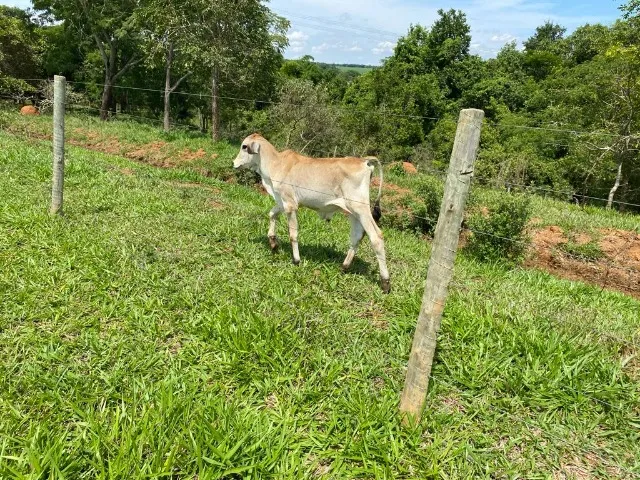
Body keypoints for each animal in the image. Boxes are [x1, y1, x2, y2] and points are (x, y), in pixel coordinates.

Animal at [233, 134, 390, 293]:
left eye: (244, 146)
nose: (234, 163)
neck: (275, 164)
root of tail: (364, 161)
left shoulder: (290, 205)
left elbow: (293, 234)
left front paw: (296, 260)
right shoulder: (282, 202)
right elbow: (272, 214)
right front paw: (273, 243)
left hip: (361, 209)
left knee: (376, 237)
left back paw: (385, 282)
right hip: (352, 212)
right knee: (356, 237)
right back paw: (344, 267)